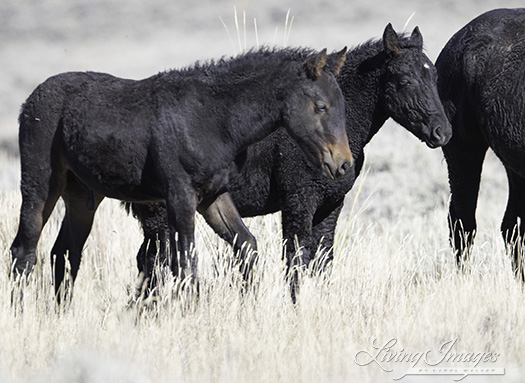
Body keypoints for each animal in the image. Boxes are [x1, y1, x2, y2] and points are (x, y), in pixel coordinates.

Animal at [9, 45, 352, 298]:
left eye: (341, 105)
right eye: (321, 106)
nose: (343, 164)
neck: (213, 119)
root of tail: (27, 103)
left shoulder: (213, 197)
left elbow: (246, 247)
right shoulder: (180, 195)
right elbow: (186, 262)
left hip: (82, 197)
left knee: (65, 253)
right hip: (41, 185)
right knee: (23, 251)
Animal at [130, 23, 450, 300]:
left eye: (435, 77)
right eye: (405, 80)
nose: (442, 132)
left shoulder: (330, 205)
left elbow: (321, 261)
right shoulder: (299, 202)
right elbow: (295, 261)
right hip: (162, 217)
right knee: (157, 262)